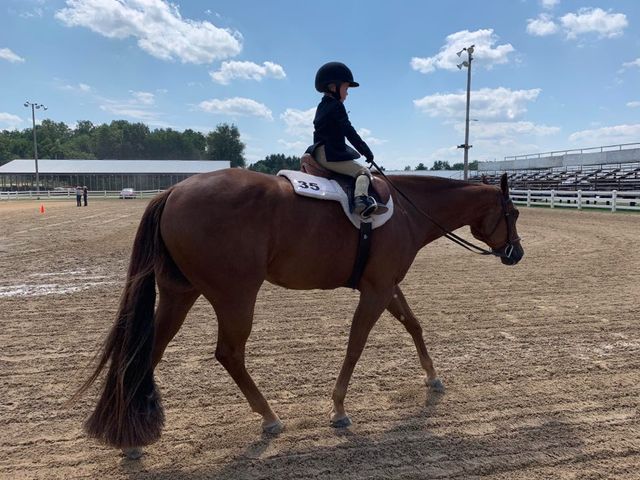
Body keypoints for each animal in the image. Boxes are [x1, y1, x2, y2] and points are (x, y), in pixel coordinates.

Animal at [76, 170, 524, 458]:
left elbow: (413, 324)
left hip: (179, 293)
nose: (516, 253)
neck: (407, 211)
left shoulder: (386, 286)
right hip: (235, 296)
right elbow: (356, 345)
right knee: (228, 353)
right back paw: (269, 417)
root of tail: (172, 191)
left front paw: (433, 378)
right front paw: (339, 408)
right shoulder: (376, 290)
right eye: (514, 213)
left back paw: (130, 436)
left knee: (149, 351)